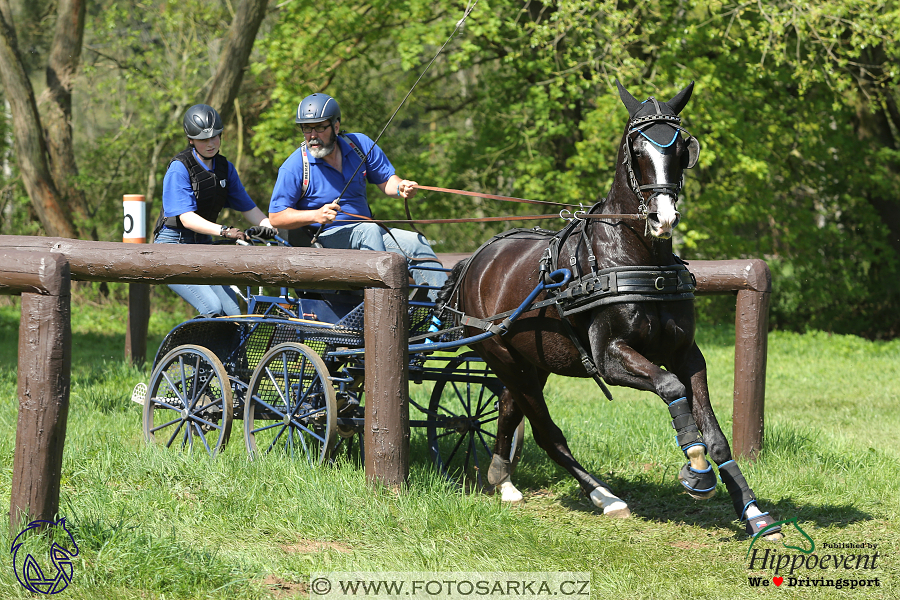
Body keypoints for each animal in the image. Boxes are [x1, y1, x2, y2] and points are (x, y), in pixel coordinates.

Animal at [440, 81, 784, 540]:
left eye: (682, 149)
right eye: (637, 148)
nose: (662, 217)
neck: (640, 262)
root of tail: (475, 261)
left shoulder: (687, 354)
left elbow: (715, 434)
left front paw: (753, 512)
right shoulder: (610, 357)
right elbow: (670, 387)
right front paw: (696, 470)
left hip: (527, 360)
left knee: (511, 407)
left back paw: (504, 479)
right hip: (502, 357)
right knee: (547, 432)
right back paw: (604, 496)